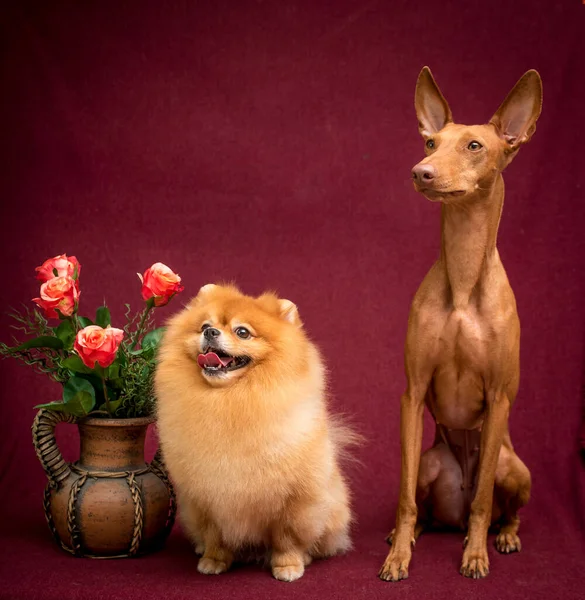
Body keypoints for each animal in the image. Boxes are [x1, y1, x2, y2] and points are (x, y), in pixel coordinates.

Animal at [154, 284, 352, 580]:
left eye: (243, 332)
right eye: (205, 326)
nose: (210, 333)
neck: (228, 400)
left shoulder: (292, 500)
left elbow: (286, 537)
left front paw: (288, 566)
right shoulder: (206, 497)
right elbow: (215, 535)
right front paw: (214, 560)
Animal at [378, 67, 544, 580]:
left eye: (474, 145)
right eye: (431, 142)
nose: (421, 171)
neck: (465, 278)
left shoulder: (499, 396)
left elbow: (484, 502)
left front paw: (474, 555)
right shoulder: (412, 394)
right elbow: (405, 499)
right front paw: (398, 555)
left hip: (516, 467)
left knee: (500, 506)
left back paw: (503, 537)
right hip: (431, 464)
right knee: (424, 507)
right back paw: (408, 534)